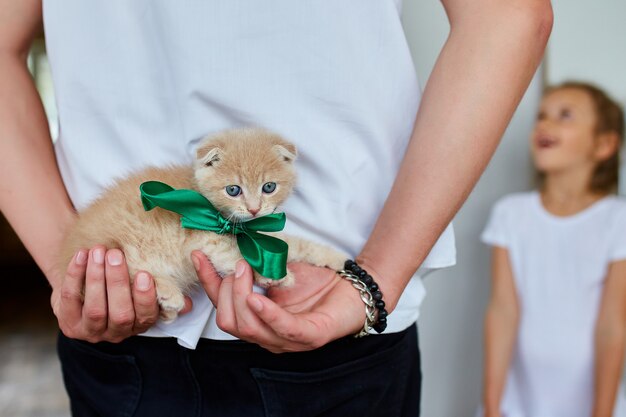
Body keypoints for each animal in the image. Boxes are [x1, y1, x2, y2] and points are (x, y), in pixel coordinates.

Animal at [59, 128, 346, 320]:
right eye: (233, 190)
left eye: (269, 187)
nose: (254, 208)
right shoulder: (205, 239)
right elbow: (236, 256)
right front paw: (276, 276)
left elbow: (295, 244)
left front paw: (335, 258)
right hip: (117, 248)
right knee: (130, 270)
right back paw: (168, 294)